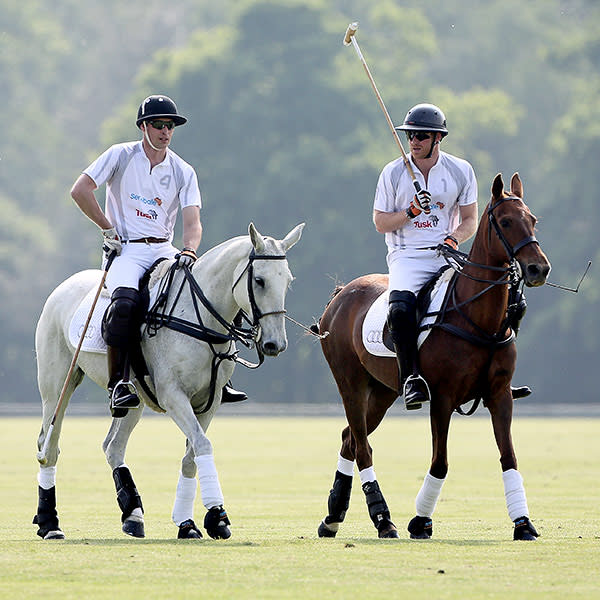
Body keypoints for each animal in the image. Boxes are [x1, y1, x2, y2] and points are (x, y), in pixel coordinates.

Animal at [33, 221, 304, 540]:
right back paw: (50, 523)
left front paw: (190, 522)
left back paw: (133, 514)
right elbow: (203, 445)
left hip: (134, 396)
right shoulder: (173, 395)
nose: (275, 344)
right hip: (57, 384)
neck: (201, 320)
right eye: (259, 280)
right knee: (48, 446)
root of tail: (63, 287)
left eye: (288, 281)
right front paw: (217, 515)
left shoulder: (209, 401)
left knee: (113, 445)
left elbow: (192, 454)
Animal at [316, 172, 552, 540]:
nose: (538, 269)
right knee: (362, 446)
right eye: (505, 221)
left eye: (533, 220)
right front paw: (420, 521)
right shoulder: (442, 396)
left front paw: (523, 523)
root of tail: (341, 295)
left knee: (349, 438)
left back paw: (333, 517)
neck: (478, 320)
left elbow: (509, 457)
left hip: (384, 390)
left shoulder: (499, 394)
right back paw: (383, 519)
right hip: (349, 382)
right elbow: (440, 461)